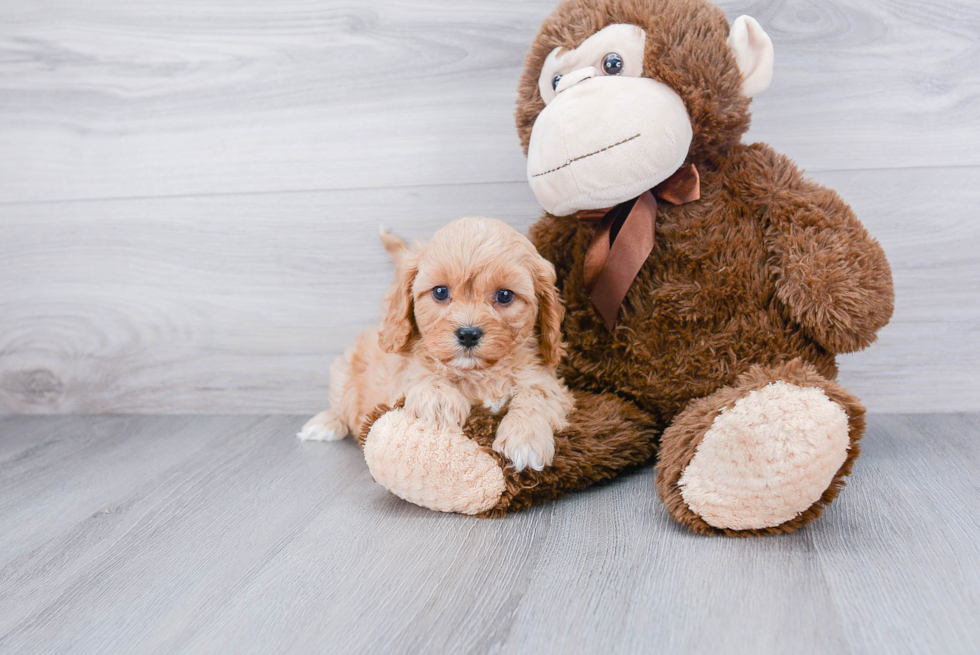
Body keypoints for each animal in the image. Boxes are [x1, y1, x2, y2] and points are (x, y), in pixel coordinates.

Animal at [298, 217, 576, 472]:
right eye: (440, 292)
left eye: (505, 295)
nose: (468, 334)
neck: (478, 373)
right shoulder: (400, 379)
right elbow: (422, 377)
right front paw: (441, 403)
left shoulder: (547, 381)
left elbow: (536, 396)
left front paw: (525, 440)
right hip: (345, 373)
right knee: (341, 403)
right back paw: (324, 424)